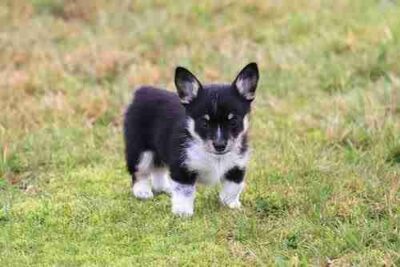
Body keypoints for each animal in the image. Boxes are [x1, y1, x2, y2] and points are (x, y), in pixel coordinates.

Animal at [122, 63, 260, 218]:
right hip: (140, 151)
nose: (220, 146)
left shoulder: (236, 167)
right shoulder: (183, 169)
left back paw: (165, 188)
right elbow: (185, 192)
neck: (213, 155)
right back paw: (142, 192)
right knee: (140, 172)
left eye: (233, 122)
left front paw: (230, 205)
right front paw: (183, 213)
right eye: (204, 123)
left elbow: (233, 188)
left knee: (158, 168)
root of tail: (143, 91)